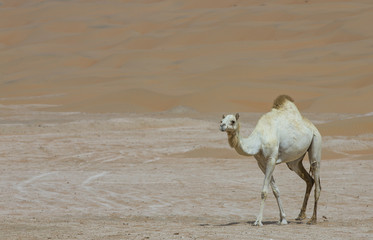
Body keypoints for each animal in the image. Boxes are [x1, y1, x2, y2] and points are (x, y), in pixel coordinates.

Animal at [219, 94, 322, 226]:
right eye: (221, 120)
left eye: (232, 121)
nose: (222, 126)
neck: (258, 140)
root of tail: (313, 127)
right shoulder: (261, 163)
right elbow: (275, 190)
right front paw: (283, 219)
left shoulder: (271, 159)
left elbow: (264, 191)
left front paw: (258, 221)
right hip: (294, 162)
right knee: (309, 179)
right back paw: (301, 215)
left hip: (316, 141)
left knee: (316, 175)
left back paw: (313, 219)